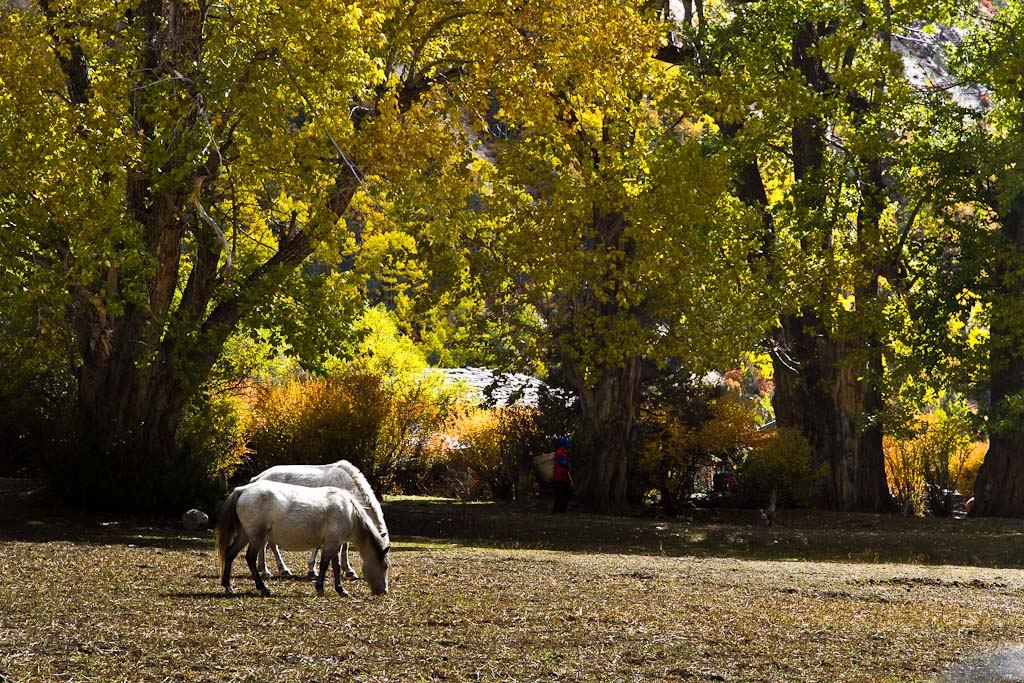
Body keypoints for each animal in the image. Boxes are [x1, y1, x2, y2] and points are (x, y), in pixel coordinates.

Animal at [216, 481, 391, 598]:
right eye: (384, 566)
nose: (384, 591)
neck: (350, 511)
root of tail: (242, 489)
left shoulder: (335, 543)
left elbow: (335, 566)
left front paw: (341, 589)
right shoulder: (331, 543)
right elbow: (325, 565)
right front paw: (320, 588)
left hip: (244, 535)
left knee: (230, 554)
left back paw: (228, 587)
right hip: (255, 536)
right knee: (250, 559)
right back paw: (264, 588)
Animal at [250, 458, 387, 577]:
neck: (348, 486)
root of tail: (258, 478)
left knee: (265, 544)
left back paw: (264, 569)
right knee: (271, 545)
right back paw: (279, 569)